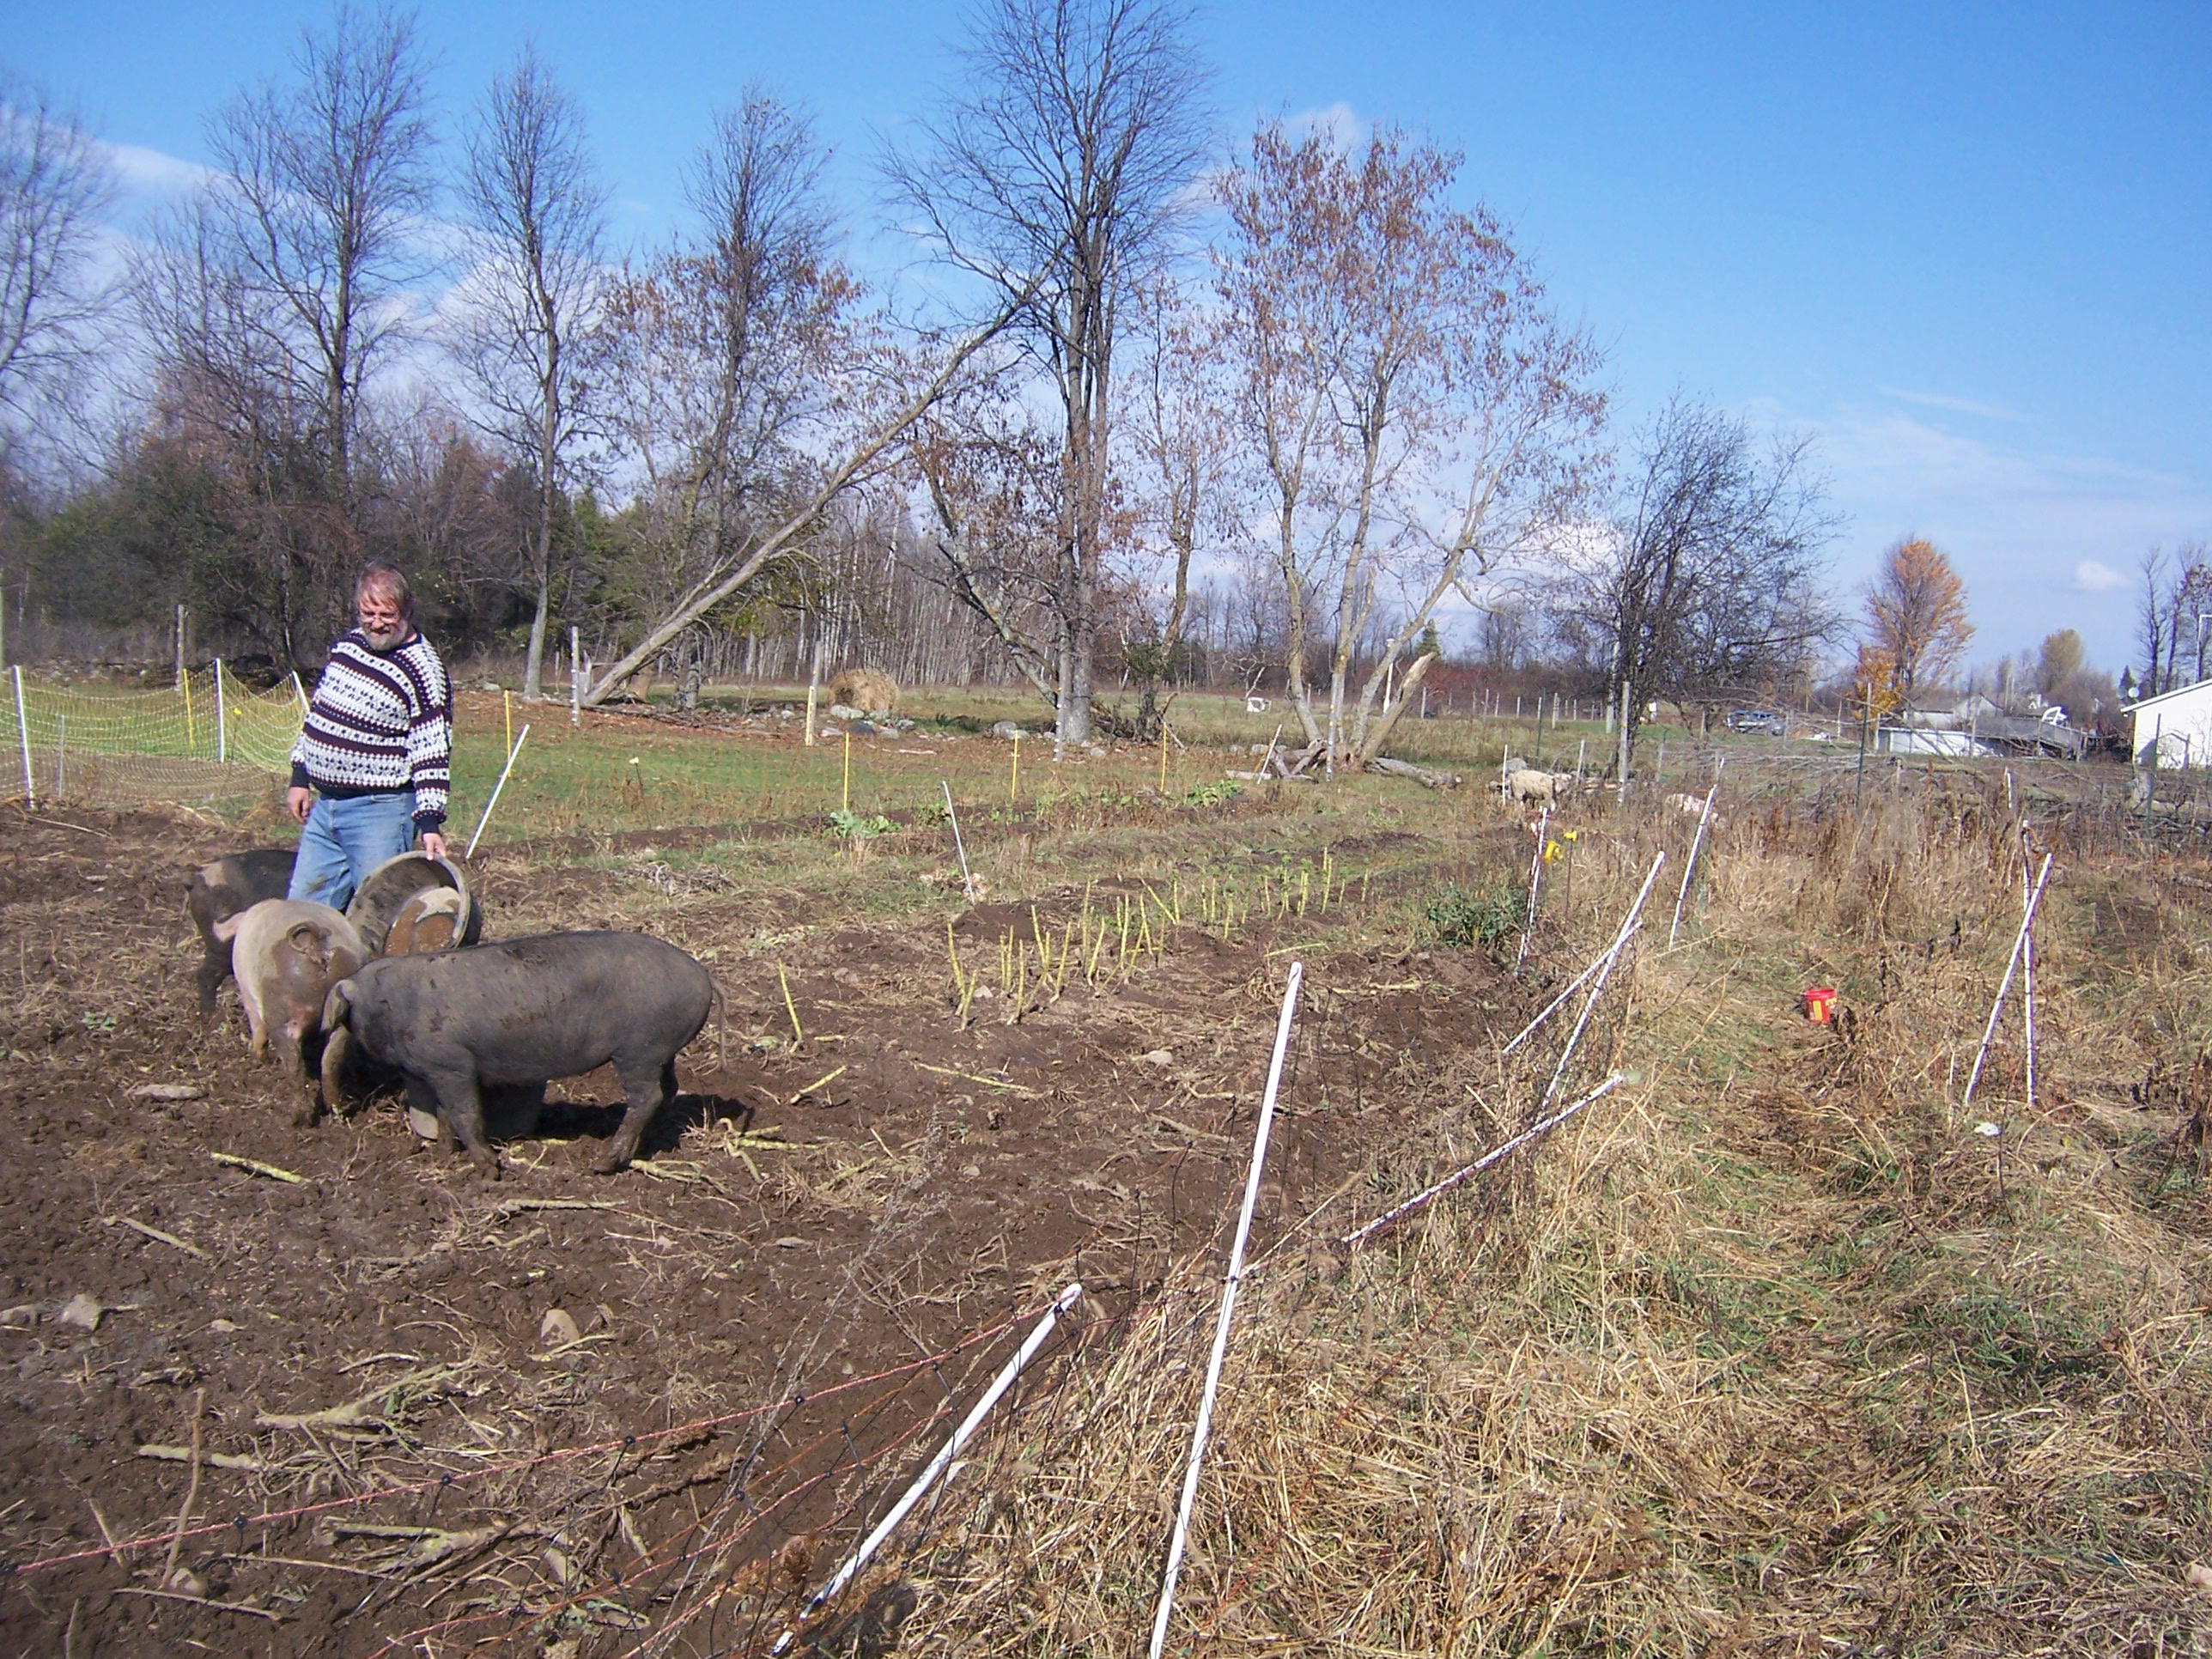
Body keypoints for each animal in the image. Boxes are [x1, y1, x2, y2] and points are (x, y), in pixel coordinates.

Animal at [210, 902, 362, 1123]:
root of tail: (315, 946)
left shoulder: (248, 995)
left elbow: (257, 1029)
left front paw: (258, 1058)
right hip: (343, 1013)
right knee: (332, 1059)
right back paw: (337, 1114)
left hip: (281, 1014)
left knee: (294, 1064)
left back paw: (297, 1120)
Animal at [320, 938, 712, 1185]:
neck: (391, 1002)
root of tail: (702, 977)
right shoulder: (437, 1073)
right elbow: (445, 1115)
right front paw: (444, 1157)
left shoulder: (452, 1066)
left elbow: (466, 1114)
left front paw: (491, 1171)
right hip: (659, 1052)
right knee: (668, 1091)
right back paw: (648, 1146)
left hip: (638, 1051)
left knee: (647, 1098)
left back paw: (600, 1165)